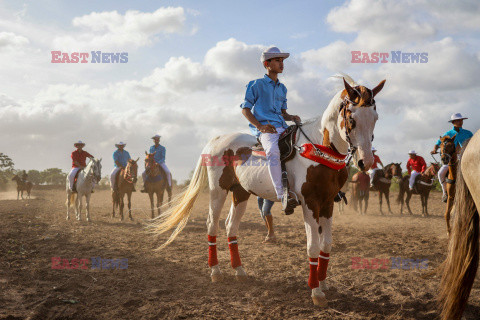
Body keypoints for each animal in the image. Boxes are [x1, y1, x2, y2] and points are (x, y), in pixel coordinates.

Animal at [148, 76, 384, 306]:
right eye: (352, 118)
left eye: (375, 118)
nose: (365, 162)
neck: (318, 149)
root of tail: (217, 140)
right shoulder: (310, 204)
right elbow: (313, 247)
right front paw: (316, 291)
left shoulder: (327, 203)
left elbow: (326, 245)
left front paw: (323, 283)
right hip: (218, 191)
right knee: (212, 225)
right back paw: (215, 271)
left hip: (241, 193)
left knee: (230, 227)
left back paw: (239, 270)